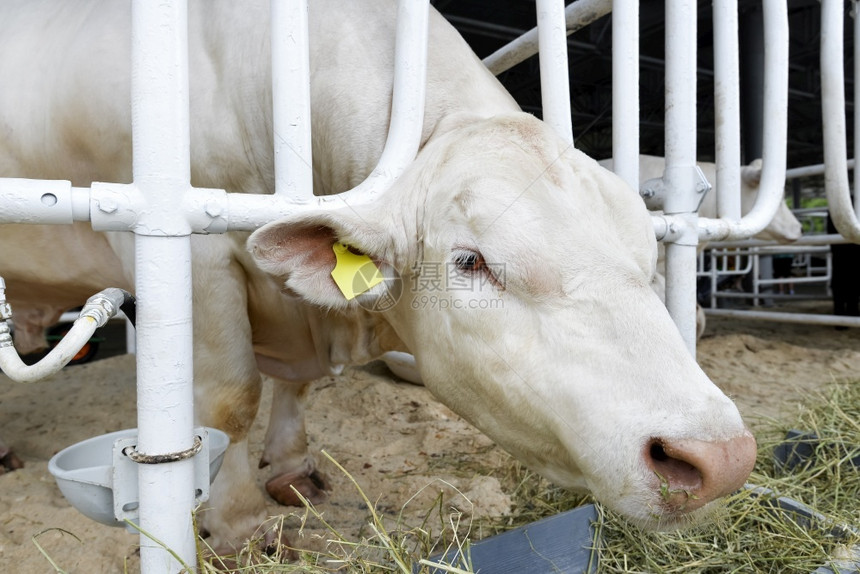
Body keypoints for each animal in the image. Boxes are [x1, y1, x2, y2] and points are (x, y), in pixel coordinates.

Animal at [0, 0, 756, 556]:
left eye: (647, 259)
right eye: (470, 261)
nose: (718, 459)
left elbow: (296, 387)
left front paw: (291, 467)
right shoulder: (190, 252)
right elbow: (230, 400)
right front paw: (236, 520)